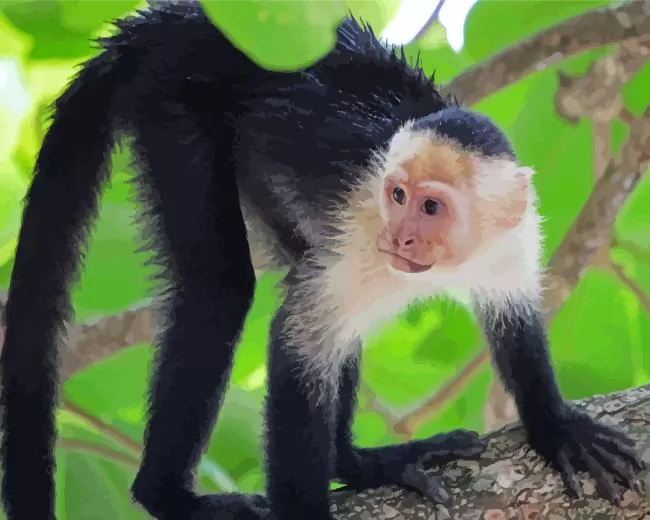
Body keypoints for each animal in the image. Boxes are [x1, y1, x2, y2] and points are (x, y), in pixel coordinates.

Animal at [0, 2, 645, 520]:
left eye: (431, 207)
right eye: (397, 196)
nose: (400, 240)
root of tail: (174, 17)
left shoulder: (513, 236)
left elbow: (514, 320)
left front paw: (555, 427)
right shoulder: (364, 228)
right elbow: (298, 341)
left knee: (301, 273)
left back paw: (358, 465)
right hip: (173, 99)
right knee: (221, 289)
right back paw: (167, 496)